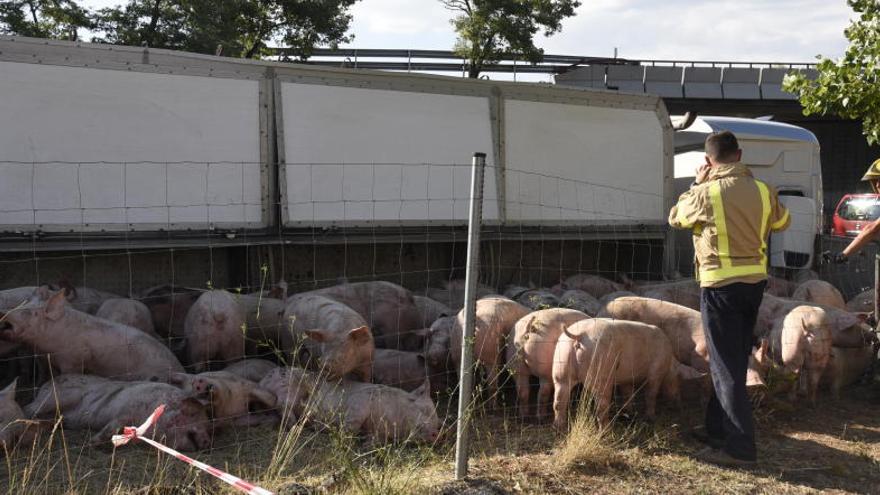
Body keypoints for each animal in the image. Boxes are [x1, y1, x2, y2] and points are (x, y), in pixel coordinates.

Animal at [25, 376, 211, 454]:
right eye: (194, 415)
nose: (207, 441)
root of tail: (46, 384)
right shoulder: (124, 412)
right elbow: (113, 426)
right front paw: (95, 443)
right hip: (55, 398)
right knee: (29, 408)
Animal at [552, 318, 684, 430]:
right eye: (679, 377)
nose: (678, 404)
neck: (670, 362)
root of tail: (579, 334)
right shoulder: (656, 372)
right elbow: (651, 394)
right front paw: (651, 418)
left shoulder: (627, 378)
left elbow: (628, 393)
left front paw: (629, 413)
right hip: (601, 370)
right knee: (601, 405)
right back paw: (606, 429)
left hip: (561, 364)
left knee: (559, 400)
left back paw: (559, 428)